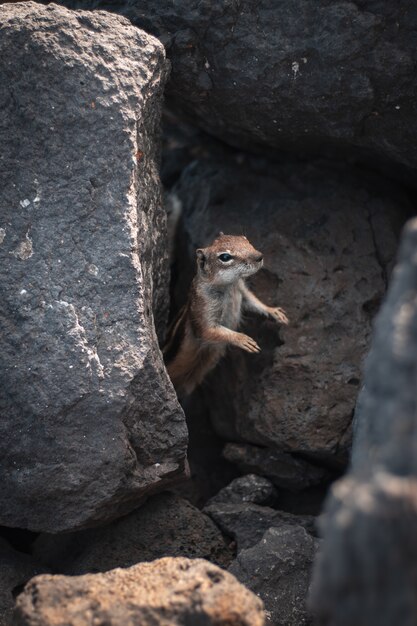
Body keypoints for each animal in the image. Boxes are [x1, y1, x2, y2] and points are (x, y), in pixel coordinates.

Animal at [161, 234, 288, 394]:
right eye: (225, 257)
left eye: (246, 240)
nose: (259, 256)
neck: (229, 287)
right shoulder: (204, 308)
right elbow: (208, 331)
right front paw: (243, 339)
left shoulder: (242, 290)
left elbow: (252, 300)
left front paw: (274, 311)